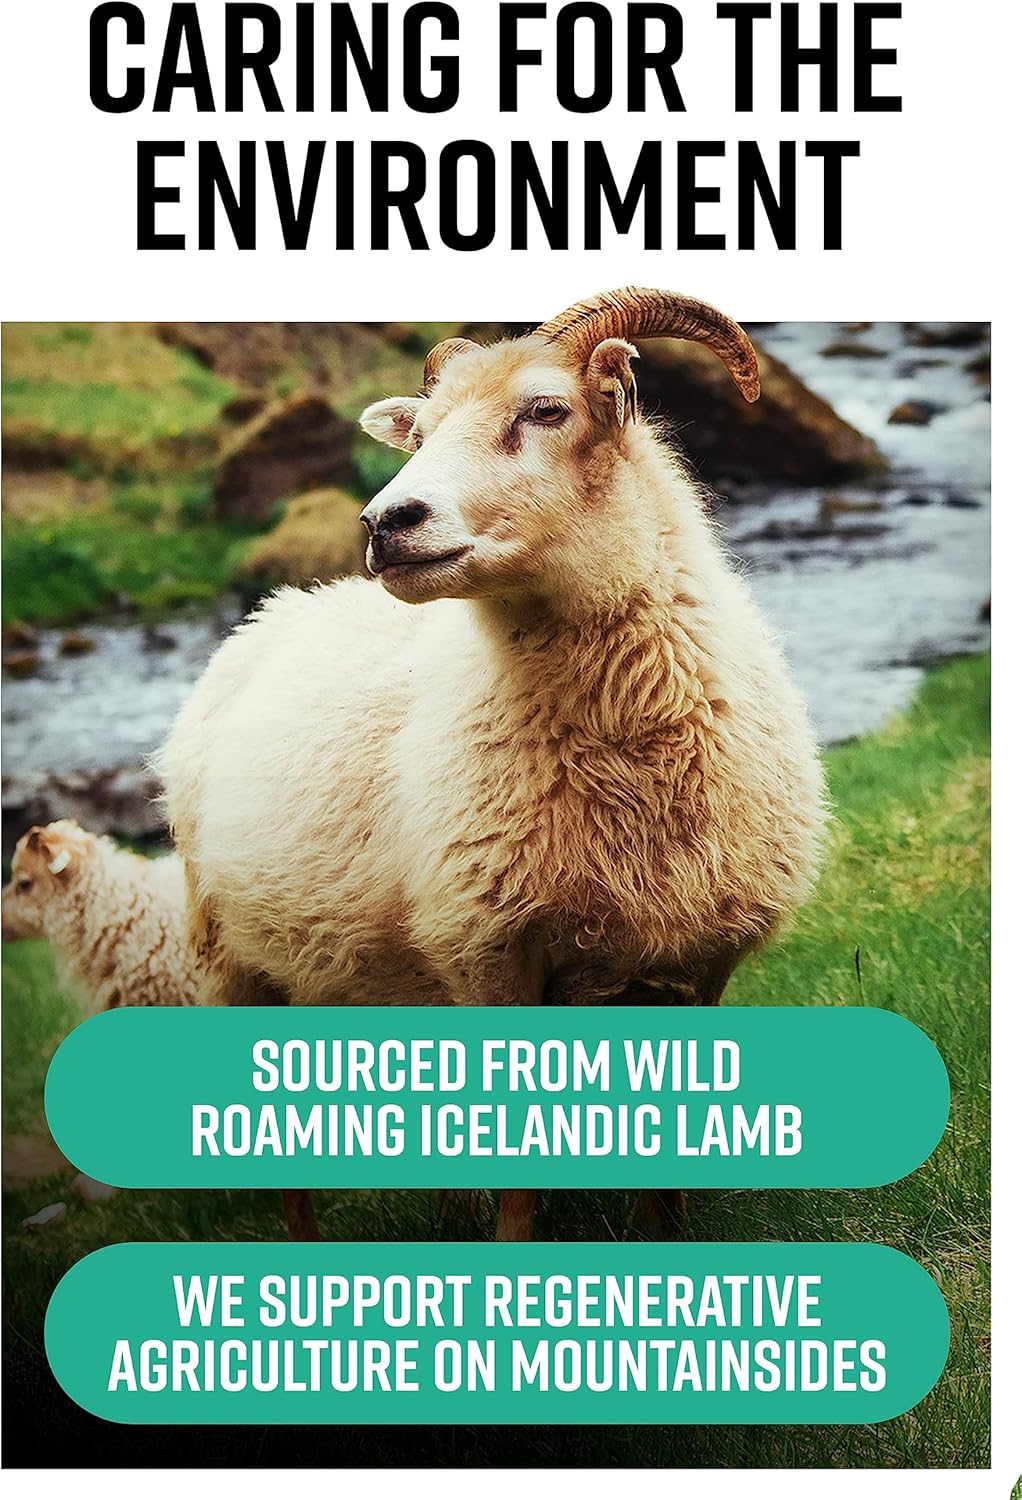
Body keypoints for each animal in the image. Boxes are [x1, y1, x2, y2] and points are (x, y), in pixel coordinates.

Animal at [158, 288, 827, 1242]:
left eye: (545, 410)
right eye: (422, 431)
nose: (384, 524)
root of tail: (276, 610)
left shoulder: (700, 965)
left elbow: (665, 1183)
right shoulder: (488, 956)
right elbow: (518, 1187)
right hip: (233, 960)